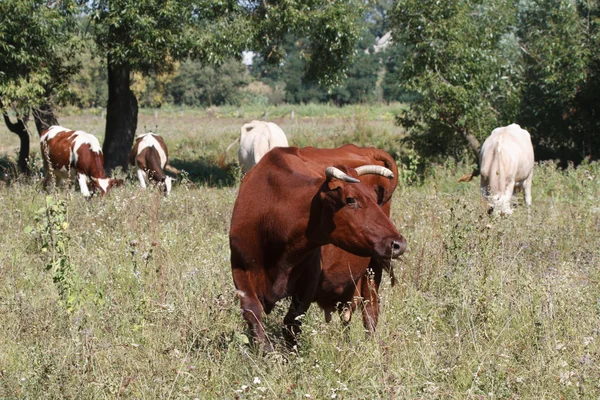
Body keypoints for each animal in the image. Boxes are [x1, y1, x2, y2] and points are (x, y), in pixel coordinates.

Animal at [230, 145, 408, 348]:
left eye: (373, 197)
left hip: (373, 266)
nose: (399, 244)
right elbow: (253, 313)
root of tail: (365, 149)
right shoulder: (240, 268)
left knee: (370, 310)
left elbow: (291, 323)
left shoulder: (309, 279)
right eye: (350, 199)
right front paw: (264, 352)